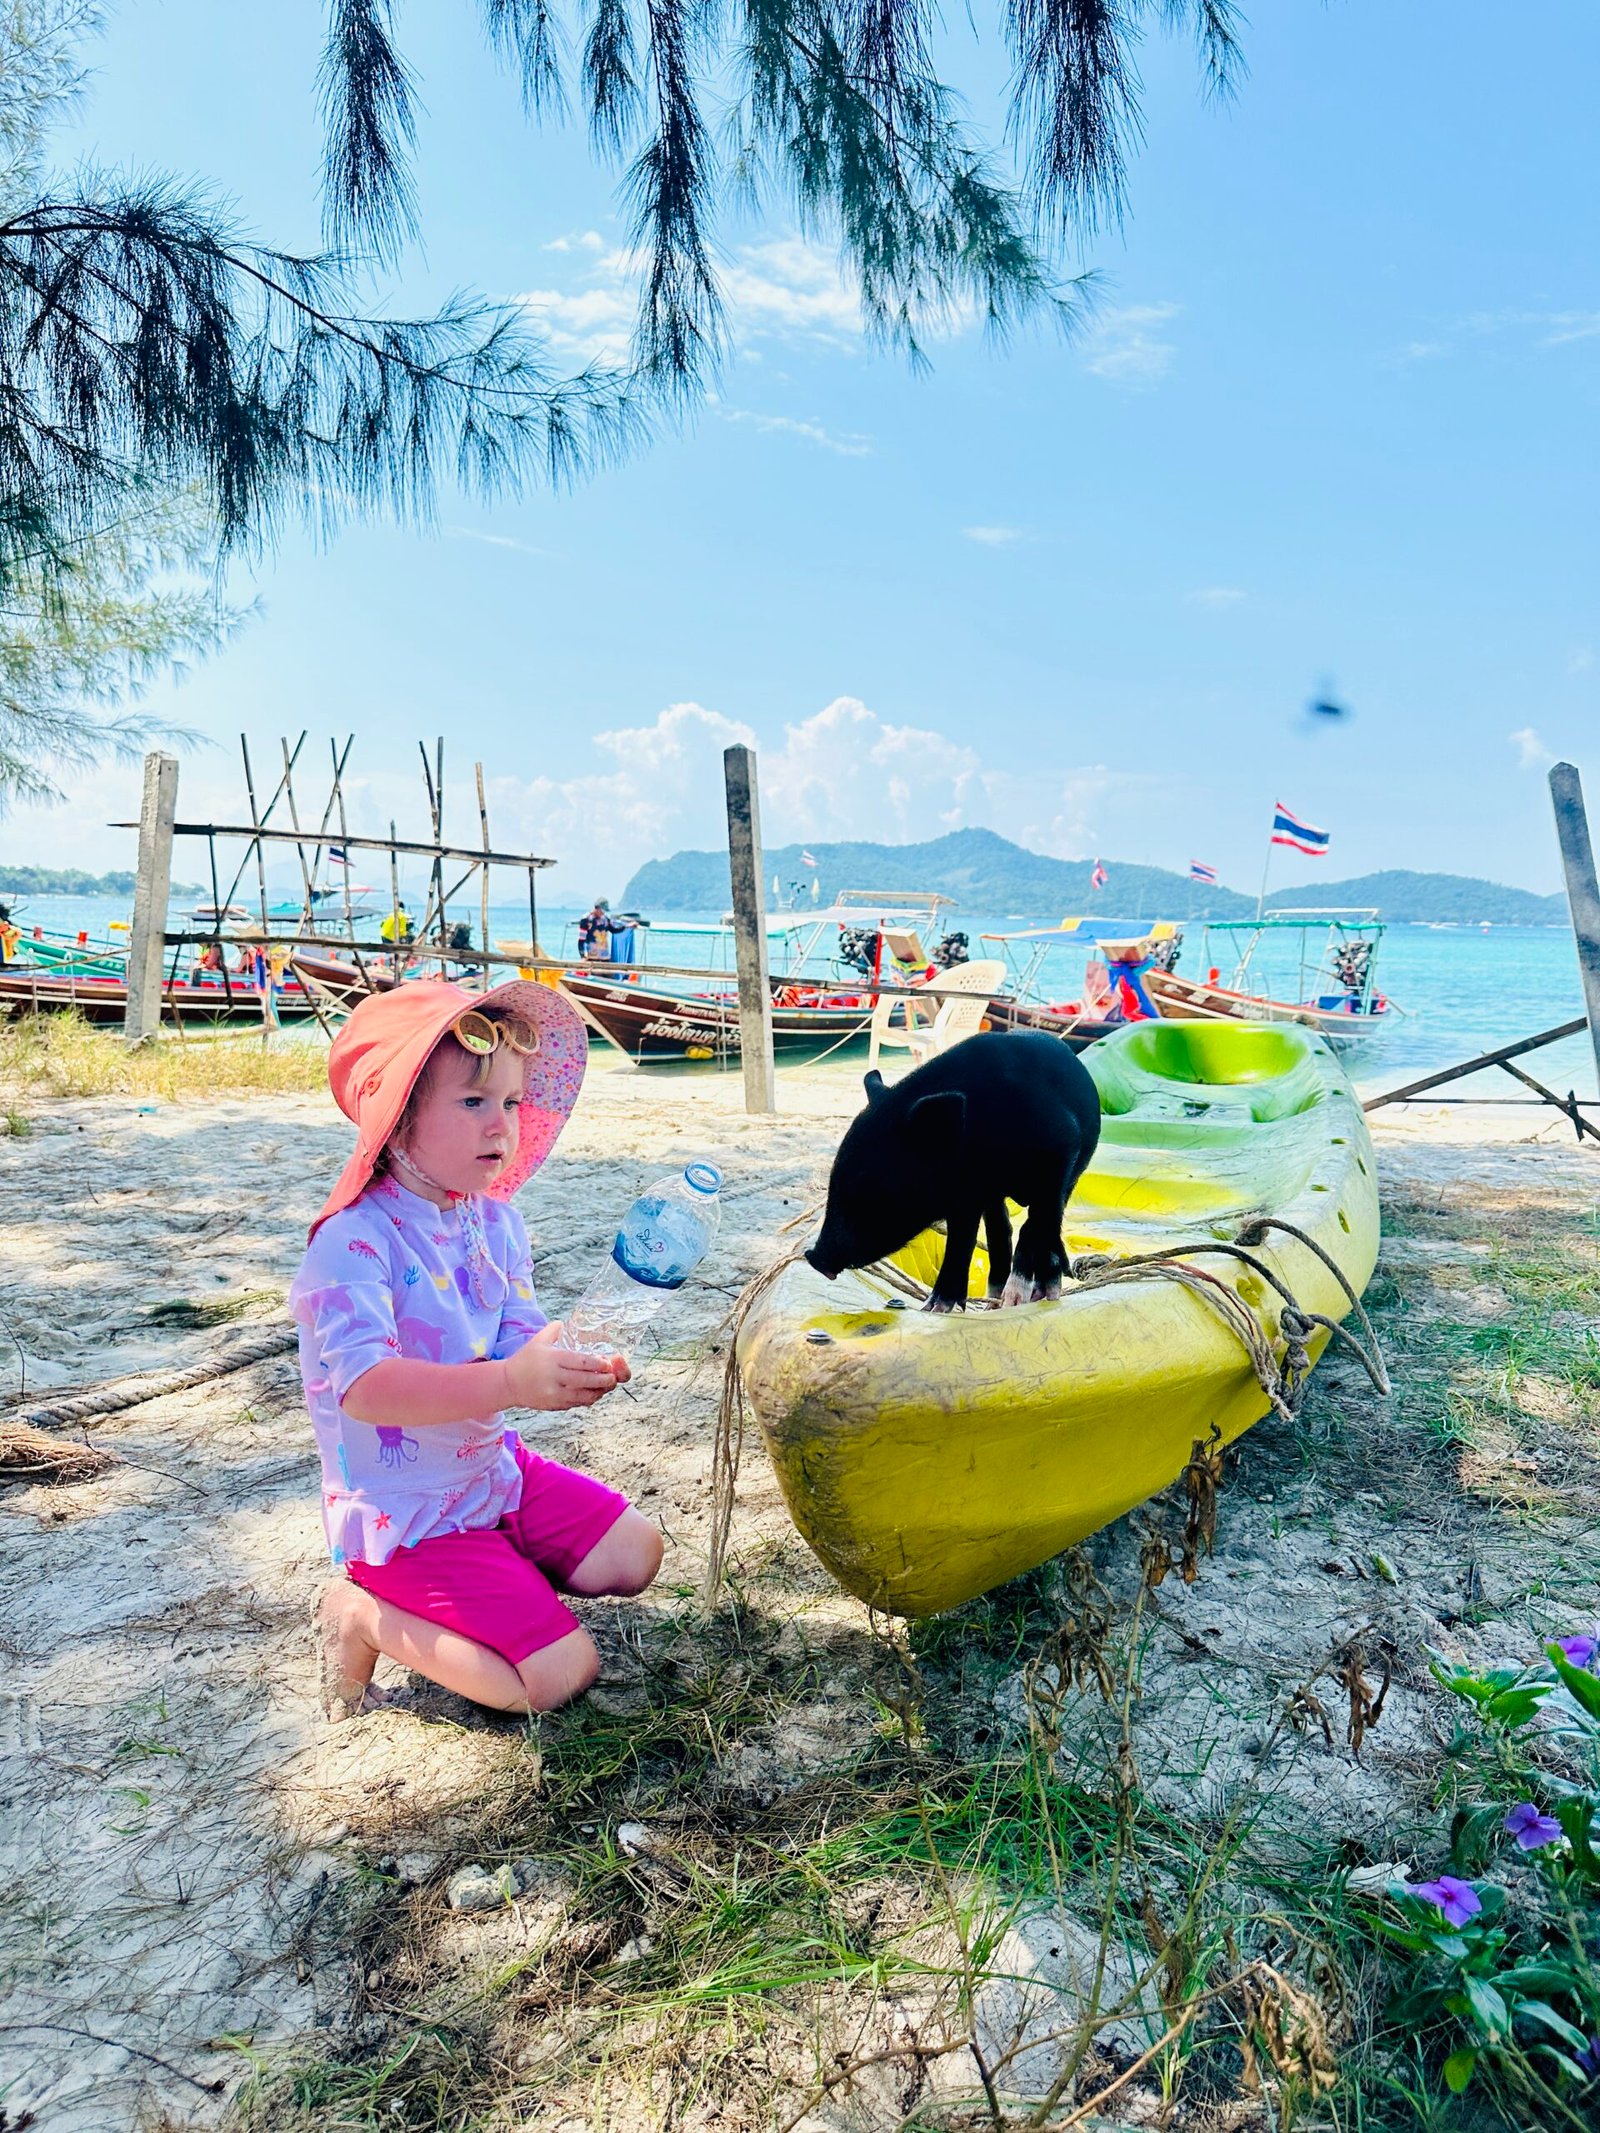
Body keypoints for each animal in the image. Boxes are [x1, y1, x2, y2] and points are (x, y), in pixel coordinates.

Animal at [805, 1030, 1102, 1312]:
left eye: (868, 1184)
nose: (814, 1256)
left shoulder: (1060, 1152)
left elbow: (1035, 1226)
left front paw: (1025, 1298)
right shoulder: (965, 1195)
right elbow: (961, 1241)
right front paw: (934, 1308)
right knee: (1000, 1230)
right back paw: (993, 1299)